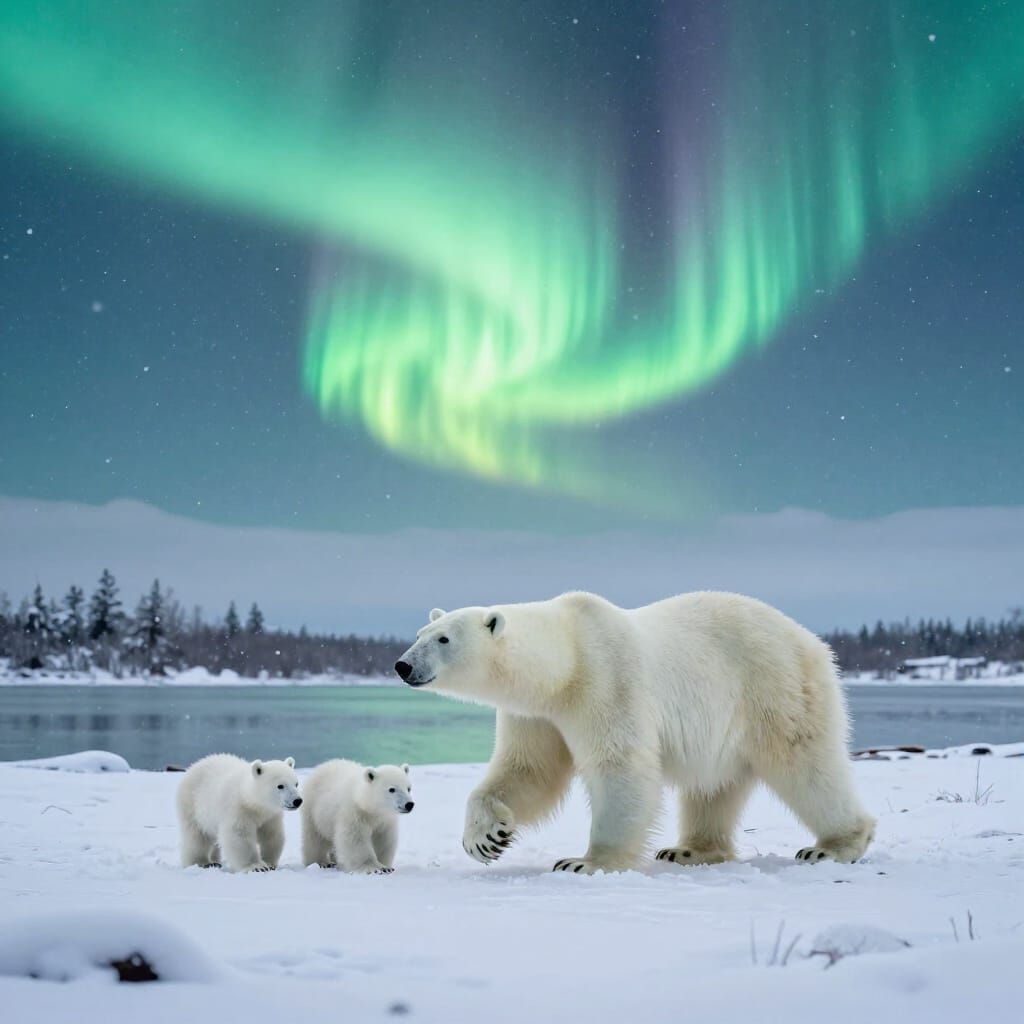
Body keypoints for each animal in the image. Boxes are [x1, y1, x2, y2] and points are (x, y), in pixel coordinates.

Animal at [394, 591, 875, 874]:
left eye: (443, 639)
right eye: (420, 632)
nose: (402, 665)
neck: (565, 661)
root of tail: (814, 641)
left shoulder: (607, 680)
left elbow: (619, 767)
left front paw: (585, 862)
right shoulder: (536, 714)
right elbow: (528, 770)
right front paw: (485, 838)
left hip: (774, 685)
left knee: (804, 762)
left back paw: (833, 846)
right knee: (714, 785)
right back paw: (690, 850)